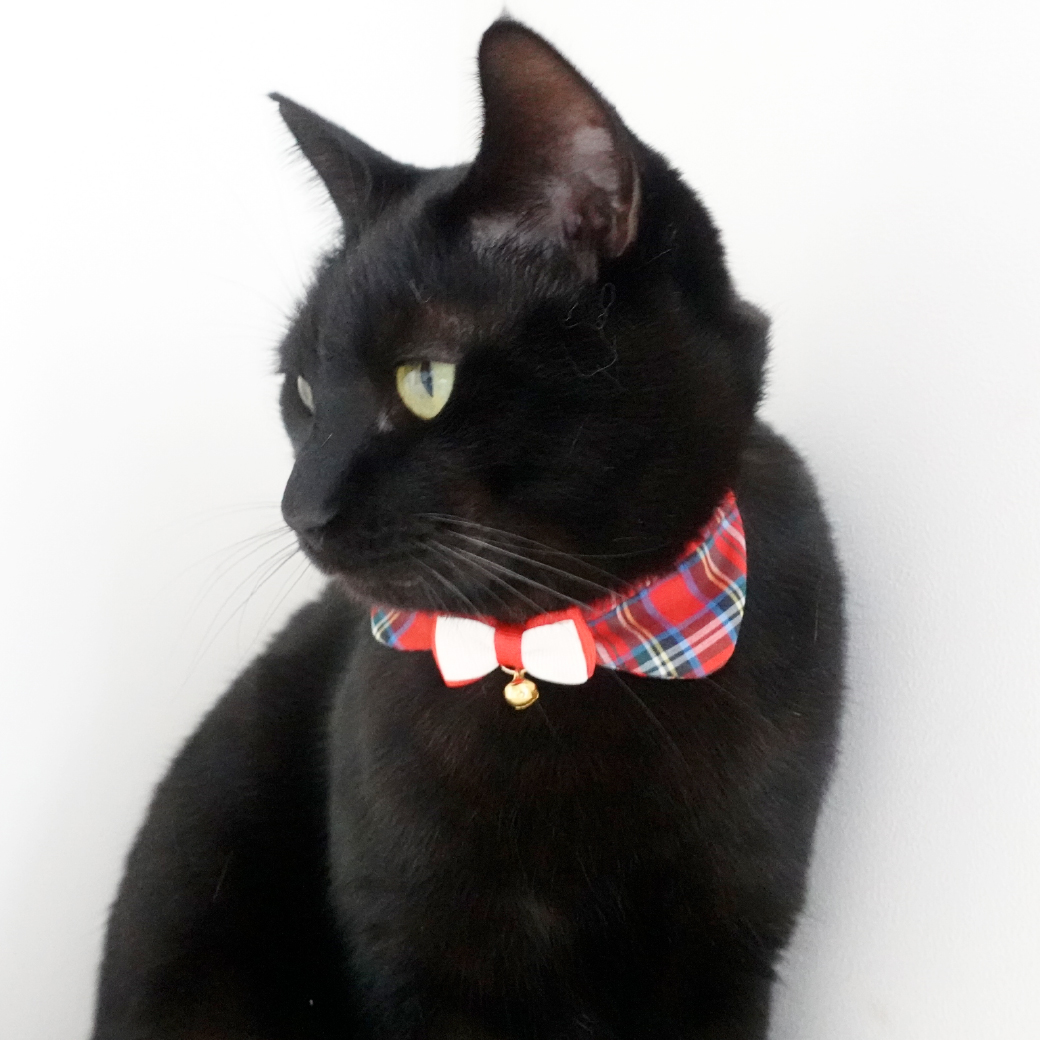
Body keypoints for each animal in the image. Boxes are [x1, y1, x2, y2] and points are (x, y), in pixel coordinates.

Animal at [92, 18, 844, 1040]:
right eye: (303, 392)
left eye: (426, 381)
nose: (299, 508)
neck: (561, 657)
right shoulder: (424, 957)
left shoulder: (729, 943)